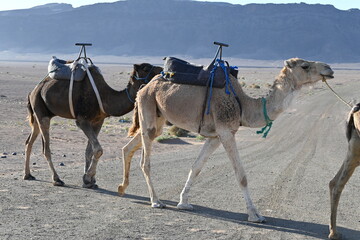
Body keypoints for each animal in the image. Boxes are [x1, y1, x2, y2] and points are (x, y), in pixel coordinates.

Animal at [23, 62, 162, 188]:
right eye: (146, 68)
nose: (162, 69)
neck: (105, 97)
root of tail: (32, 91)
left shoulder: (98, 121)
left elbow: (89, 150)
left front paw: (89, 181)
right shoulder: (82, 121)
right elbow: (98, 149)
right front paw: (88, 177)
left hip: (39, 114)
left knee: (29, 141)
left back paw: (27, 174)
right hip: (41, 110)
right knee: (45, 148)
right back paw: (57, 179)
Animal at [116, 58, 334, 223]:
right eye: (305, 66)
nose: (329, 69)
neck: (244, 105)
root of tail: (144, 87)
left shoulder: (215, 136)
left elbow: (196, 167)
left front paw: (183, 202)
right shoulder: (227, 132)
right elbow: (241, 175)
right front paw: (255, 214)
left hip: (158, 116)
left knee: (129, 147)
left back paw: (122, 188)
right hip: (148, 107)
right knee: (145, 160)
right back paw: (155, 201)